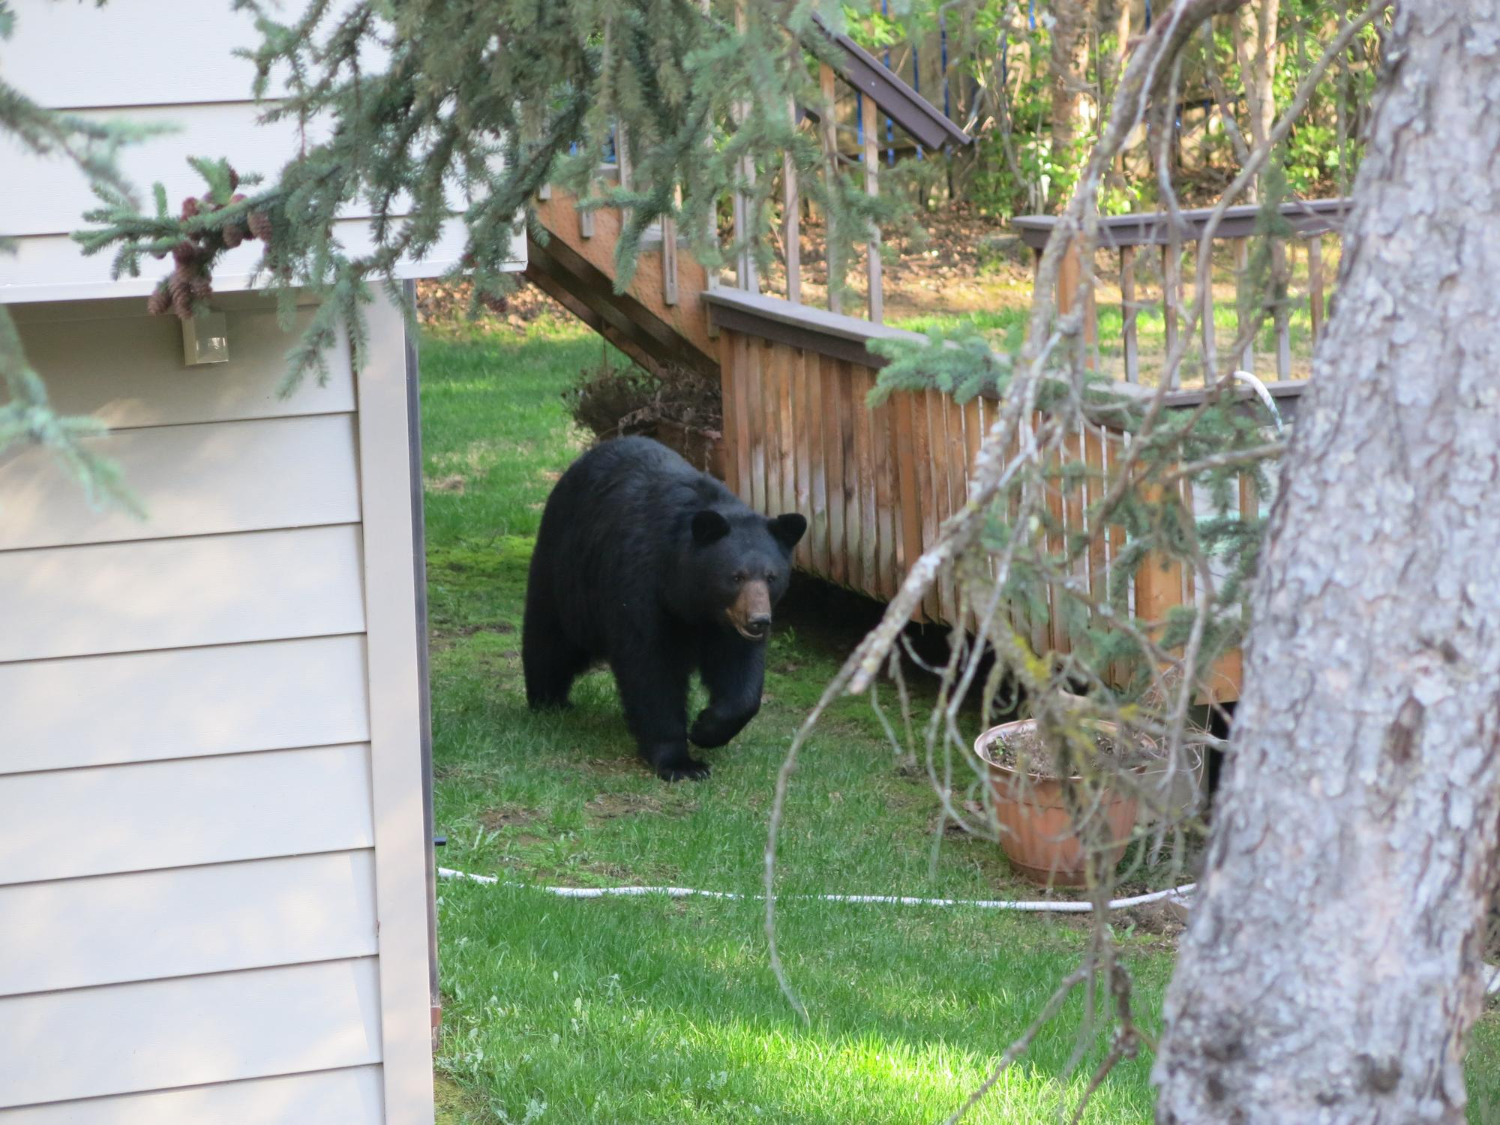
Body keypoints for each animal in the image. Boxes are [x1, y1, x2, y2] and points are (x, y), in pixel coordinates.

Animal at [522, 436, 806, 780]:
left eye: (771, 576)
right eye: (735, 576)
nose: (758, 621)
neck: (693, 602)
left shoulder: (726, 626)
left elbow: (741, 676)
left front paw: (706, 728)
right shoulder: (641, 588)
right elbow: (651, 668)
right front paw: (680, 763)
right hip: (565, 573)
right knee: (549, 639)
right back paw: (548, 700)